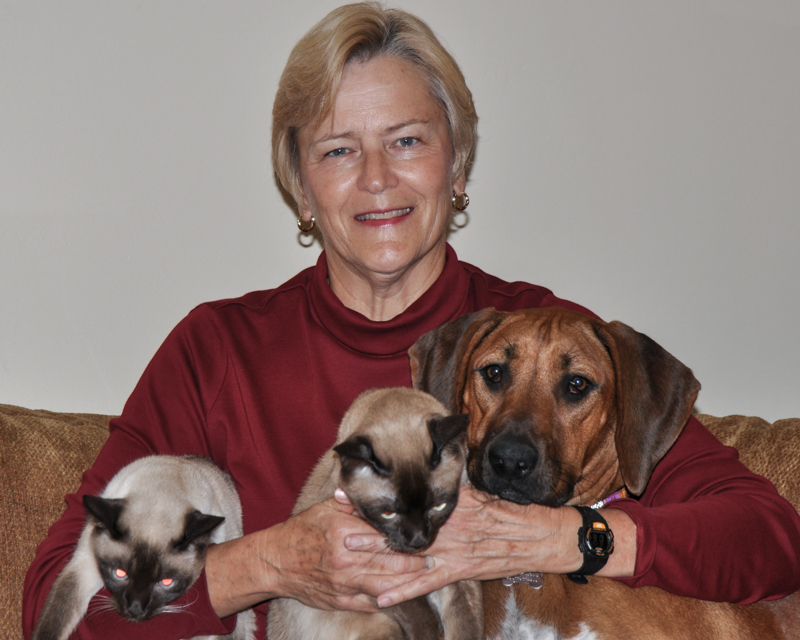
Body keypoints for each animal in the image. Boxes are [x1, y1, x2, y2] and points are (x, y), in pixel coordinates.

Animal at [32, 456, 253, 640]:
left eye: (166, 582)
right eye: (120, 573)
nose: (135, 609)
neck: (165, 486)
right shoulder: (83, 566)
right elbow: (53, 624)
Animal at [268, 384, 482, 640]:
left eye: (438, 507)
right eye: (388, 513)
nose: (418, 540)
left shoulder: (453, 575)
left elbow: (466, 624)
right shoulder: (377, 582)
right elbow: (423, 619)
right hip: (382, 627)